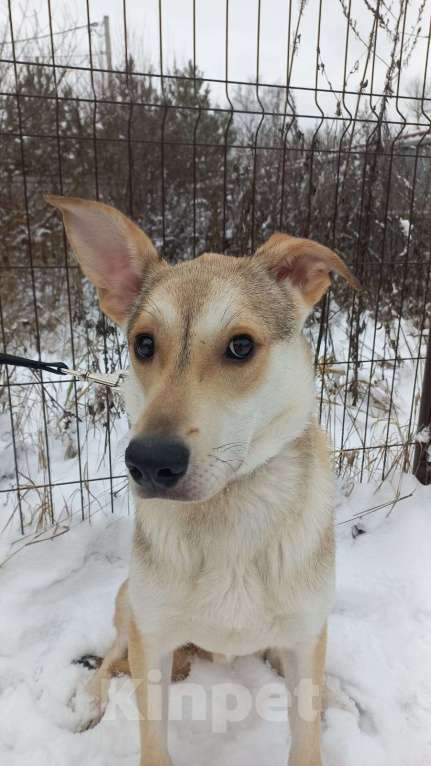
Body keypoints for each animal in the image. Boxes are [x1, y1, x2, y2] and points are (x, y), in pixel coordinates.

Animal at [47, 195, 360, 764]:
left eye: (240, 347)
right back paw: (93, 700)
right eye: (144, 344)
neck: (229, 507)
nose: (150, 462)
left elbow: (305, 733)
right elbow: (152, 734)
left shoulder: (308, 633)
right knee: (110, 658)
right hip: (130, 602)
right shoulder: (151, 634)